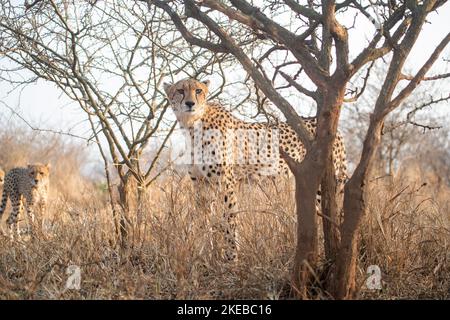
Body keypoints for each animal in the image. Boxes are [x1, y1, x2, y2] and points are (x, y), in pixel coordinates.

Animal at [163, 79, 346, 262]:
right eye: (180, 90)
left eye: (198, 90)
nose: (190, 103)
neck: (193, 126)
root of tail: (335, 130)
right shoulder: (202, 184)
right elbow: (203, 219)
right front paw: (203, 255)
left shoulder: (226, 182)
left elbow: (229, 218)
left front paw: (231, 257)